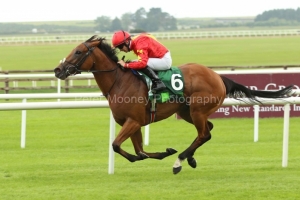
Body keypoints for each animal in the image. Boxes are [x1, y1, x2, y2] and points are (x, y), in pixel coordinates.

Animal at [54, 36, 292, 175]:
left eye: (77, 52)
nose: (58, 70)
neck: (119, 82)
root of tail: (218, 76)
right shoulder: (134, 123)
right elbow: (139, 150)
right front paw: (163, 152)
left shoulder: (133, 121)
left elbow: (117, 145)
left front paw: (164, 155)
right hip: (188, 112)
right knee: (208, 131)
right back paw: (190, 158)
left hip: (197, 110)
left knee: (204, 134)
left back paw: (180, 161)